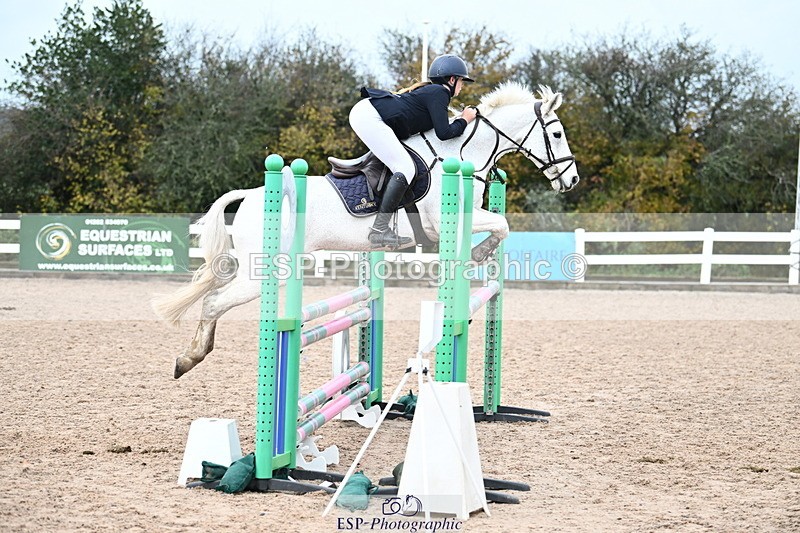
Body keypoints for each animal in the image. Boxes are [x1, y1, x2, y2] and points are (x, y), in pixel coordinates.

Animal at [153, 83, 579, 378]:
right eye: (557, 134)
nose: (572, 180)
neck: (462, 152)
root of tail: (252, 195)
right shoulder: (448, 220)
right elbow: (501, 225)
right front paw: (478, 253)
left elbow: (498, 228)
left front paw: (477, 255)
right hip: (264, 270)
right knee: (213, 302)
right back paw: (188, 359)